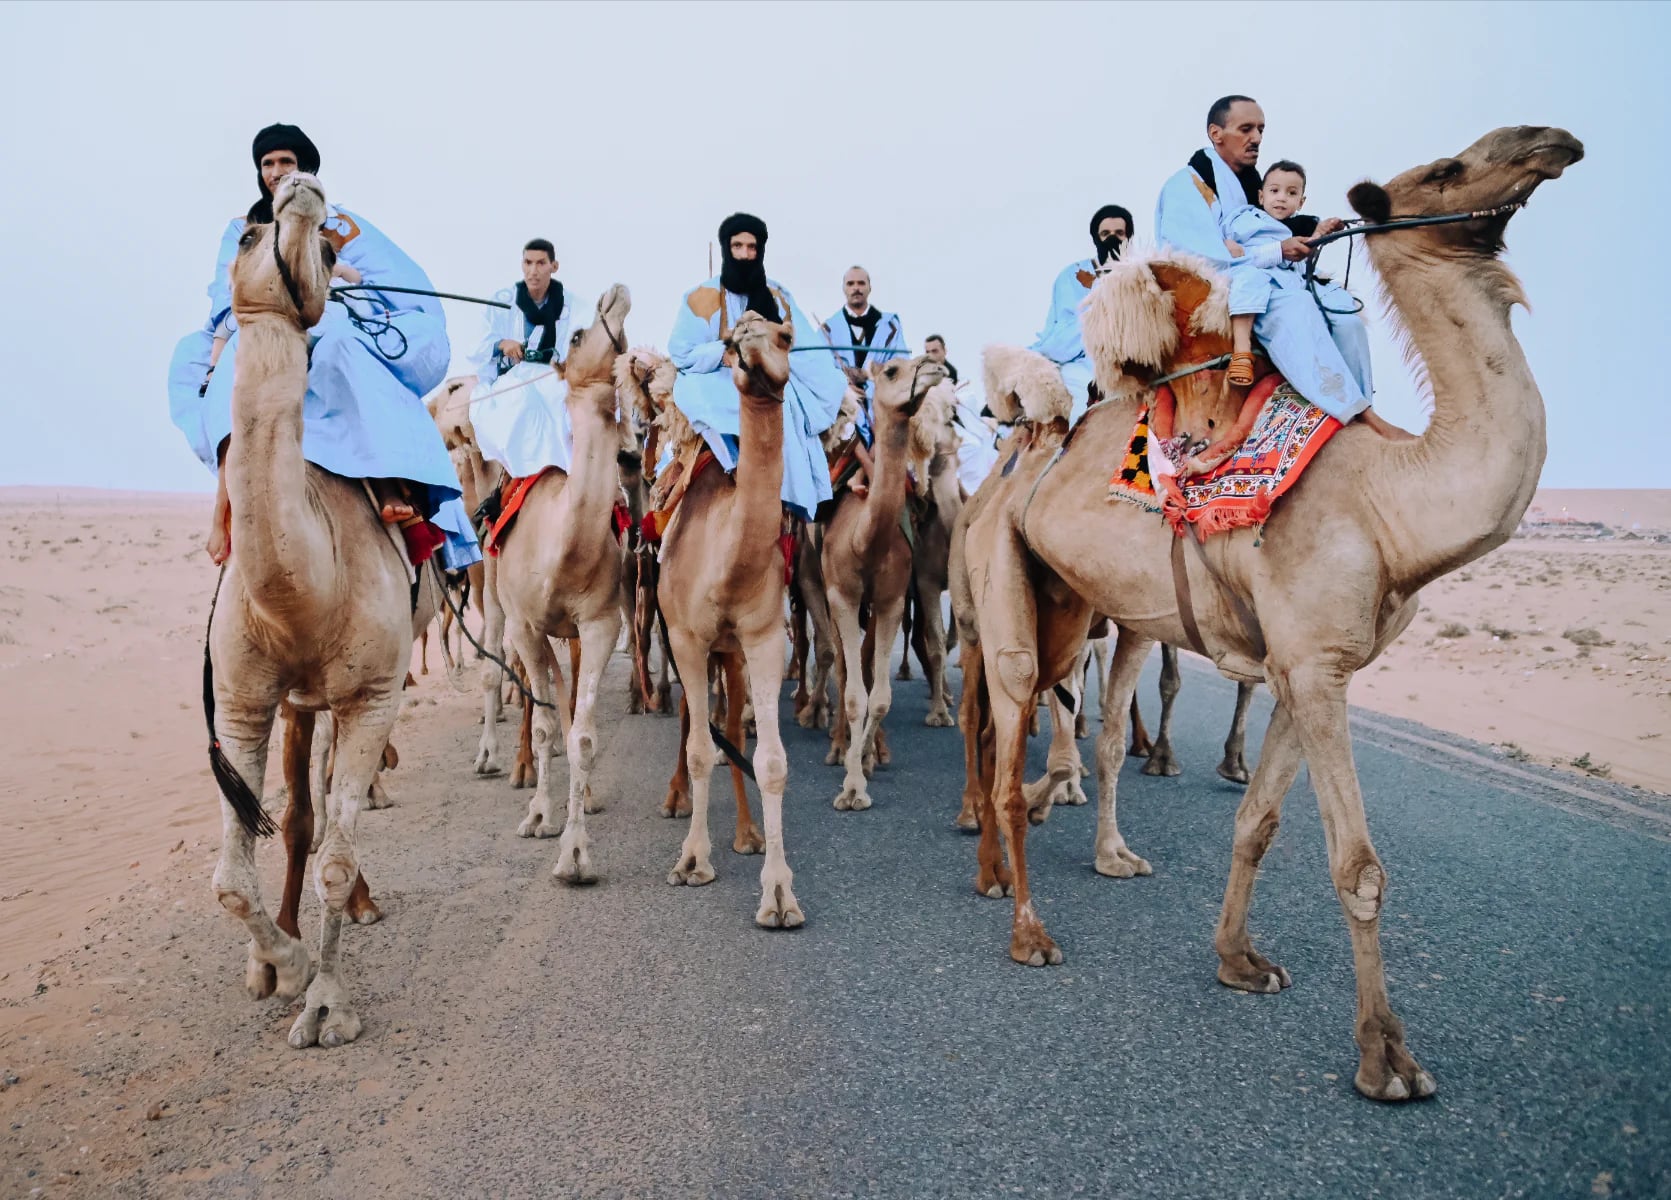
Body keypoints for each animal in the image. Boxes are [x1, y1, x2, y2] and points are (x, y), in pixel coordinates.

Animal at [205, 171, 435, 1048]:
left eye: (336, 255)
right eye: (244, 235)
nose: (300, 192)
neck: (302, 590)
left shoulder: (371, 692)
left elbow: (335, 860)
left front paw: (327, 1000)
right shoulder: (242, 699)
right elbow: (230, 878)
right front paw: (280, 962)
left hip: (356, 690)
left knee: (335, 814)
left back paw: (359, 908)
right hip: (298, 701)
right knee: (303, 815)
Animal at [647, 312, 802, 926]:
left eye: (787, 338)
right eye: (733, 341)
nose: (750, 344)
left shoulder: (762, 640)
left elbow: (772, 760)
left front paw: (778, 893)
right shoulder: (686, 638)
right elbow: (696, 749)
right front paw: (692, 860)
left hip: (730, 653)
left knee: (731, 728)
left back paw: (747, 833)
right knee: (692, 719)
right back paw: (675, 800)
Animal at [820, 357, 950, 809]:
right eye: (893, 370)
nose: (935, 367)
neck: (864, 541)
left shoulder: (892, 598)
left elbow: (879, 698)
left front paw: (862, 771)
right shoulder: (840, 595)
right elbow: (854, 694)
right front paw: (850, 784)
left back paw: (874, 752)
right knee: (843, 669)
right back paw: (838, 747)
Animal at [964, 126, 1582, 1100]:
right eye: (1446, 170)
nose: (1550, 142)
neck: (1390, 504)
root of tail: (1017, 448)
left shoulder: (1313, 666)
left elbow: (1258, 822)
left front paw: (1238, 961)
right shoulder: (1312, 666)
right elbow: (1358, 867)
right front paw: (1385, 1057)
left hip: (1068, 603)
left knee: (1041, 723)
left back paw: (1020, 851)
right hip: (1001, 591)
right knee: (1007, 722)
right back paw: (1028, 928)